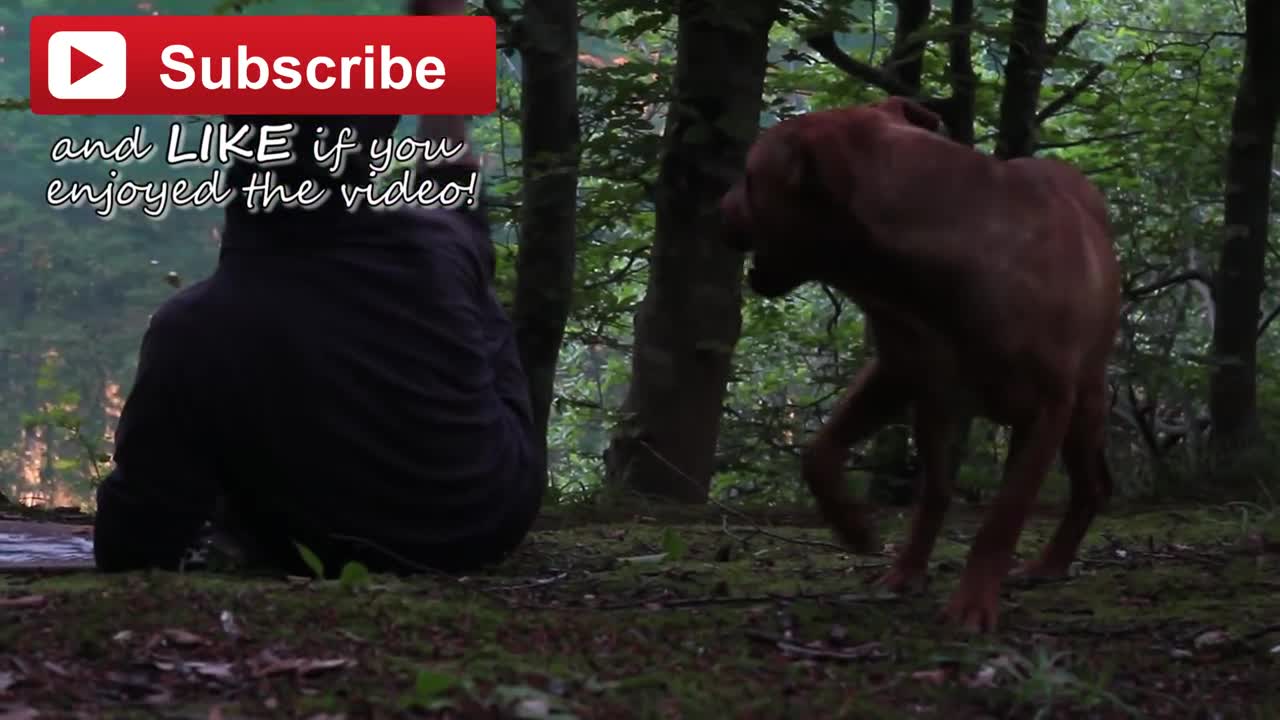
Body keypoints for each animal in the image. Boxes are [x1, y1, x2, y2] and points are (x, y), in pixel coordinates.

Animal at [721, 96, 1121, 627]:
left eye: (749, 178)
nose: (717, 207)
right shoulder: (901, 372)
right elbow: (824, 454)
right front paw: (859, 533)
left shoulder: (1046, 408)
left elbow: (1004, 516)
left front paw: (972, 603)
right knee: (937, 485)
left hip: (1083, 406)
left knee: (1088, 486)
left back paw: (1050, 563)